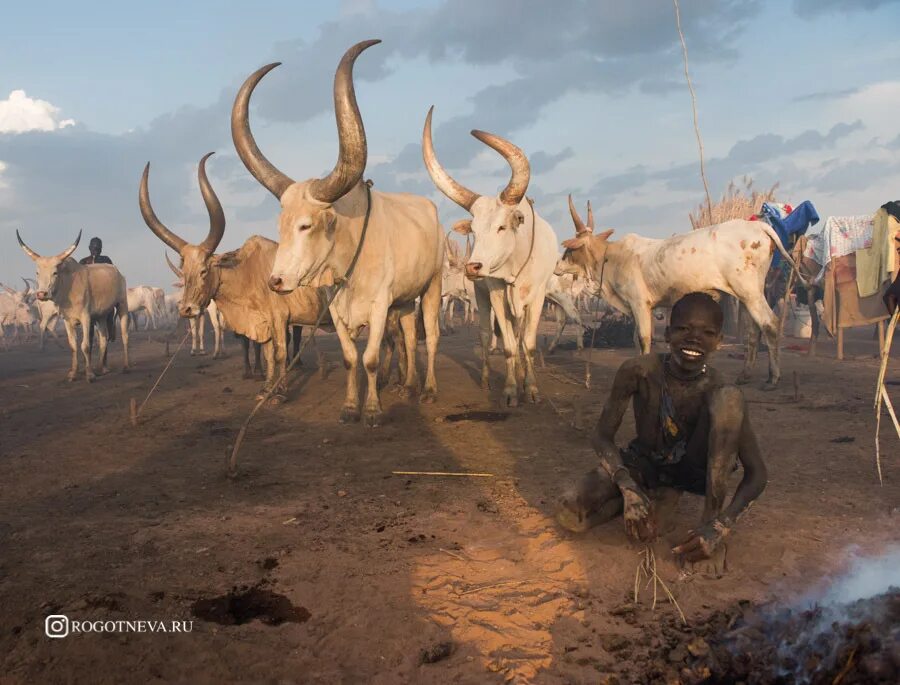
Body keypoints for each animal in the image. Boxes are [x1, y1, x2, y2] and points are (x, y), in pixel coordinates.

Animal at [15, 230, 129, 380]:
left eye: (55, 272)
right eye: (37, 273)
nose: (41, 294)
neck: (67, 286)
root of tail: (117, 271)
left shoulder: (86, 317)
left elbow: (85, 345)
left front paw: (89, 374)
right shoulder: (67, 320)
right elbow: (73, 345)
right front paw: (73, 373)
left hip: (122, 305)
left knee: (124, 335)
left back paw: (125, 367)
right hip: (101, 316)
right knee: (103, 339)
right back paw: (101, 368)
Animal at [230, 40, 444, 424]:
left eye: (306, 225)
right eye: (280, 226)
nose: (276, 282)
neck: (350, 264)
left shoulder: (379, 306)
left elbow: (370, 359)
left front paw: (371, 410)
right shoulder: (336, 309)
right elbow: (349, 358)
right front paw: (348, 406)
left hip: (432, 285)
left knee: (430, 337)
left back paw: (429, 389)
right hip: (405, 300)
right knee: (408, 335)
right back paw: (407, 386)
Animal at [420, 107, 560, 406]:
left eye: (502, 227)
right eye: (473, 230)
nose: (473, 267)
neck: (516, 264)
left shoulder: (538, 297)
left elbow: (528, 345)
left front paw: (531, 387)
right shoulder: (495, 293)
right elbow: (507, 345)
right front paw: (510, 389)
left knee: (519, 337)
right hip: (481, 297)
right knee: (486, 335)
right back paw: (486, 378)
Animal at [560, 195, 800, 388]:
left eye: (569, 250)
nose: (557, 266)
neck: (610, 257)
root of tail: (759, 227)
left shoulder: (639, 303)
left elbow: (644, 338)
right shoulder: (641, 307)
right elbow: (637, 339)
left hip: (750, 292)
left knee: (770, 324)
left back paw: (773, 379)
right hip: (746, 295)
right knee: (753, 331)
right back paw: (745, 375)